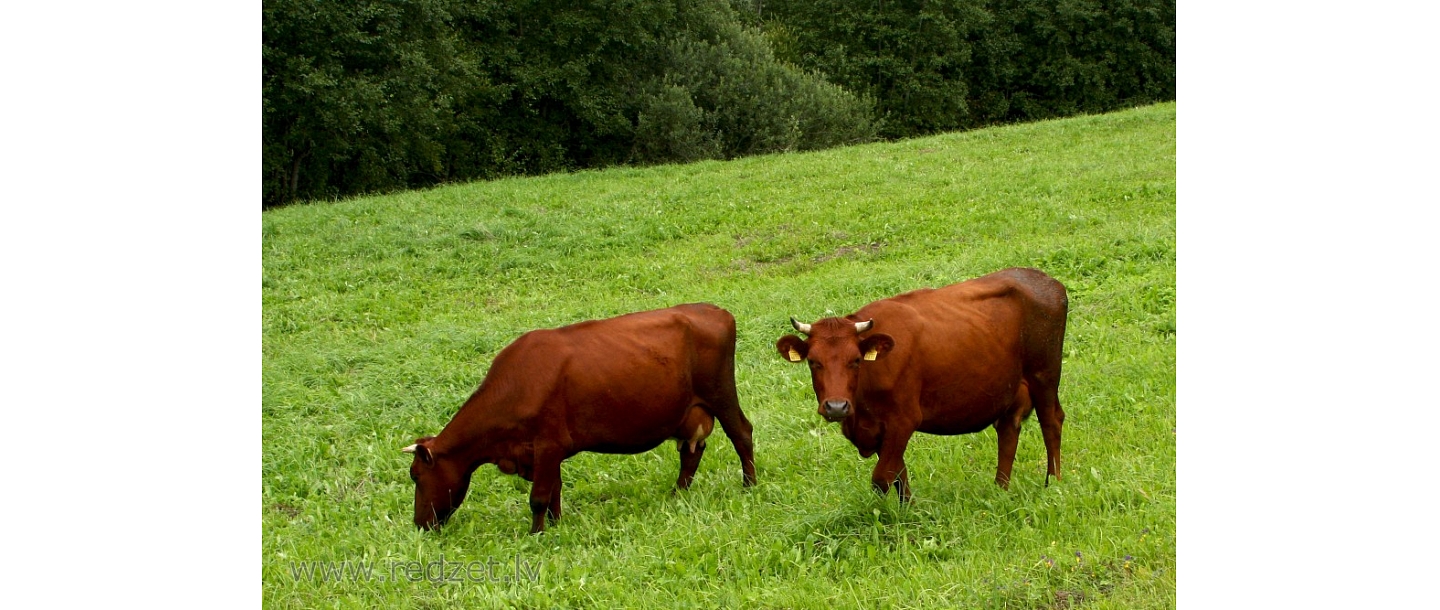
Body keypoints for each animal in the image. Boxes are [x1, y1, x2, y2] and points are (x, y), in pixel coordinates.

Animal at [404, 303, 757, 533]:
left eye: (415, 476)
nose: (420, 525)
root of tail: (716, 310)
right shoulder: (547, 451)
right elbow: (554, 490)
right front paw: (556, 524)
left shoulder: (547, 443)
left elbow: (539, 496)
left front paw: (536, 534)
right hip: (688, 412)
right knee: (691, 452)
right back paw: (677, 494)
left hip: (721, 393)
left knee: (742, 433)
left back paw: (749, 485)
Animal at [775, 268, 1068, 501]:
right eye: (814, 362)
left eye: (856, 360)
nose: (836, 407)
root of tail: (1045, 280)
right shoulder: (881, 430)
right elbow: (898, 475)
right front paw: (909, 512)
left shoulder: (903, 419)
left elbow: (881, 478)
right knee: (1008, 430)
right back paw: (1000, 489)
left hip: (1045, 373)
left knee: (1051, 421)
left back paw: (1054, 484)